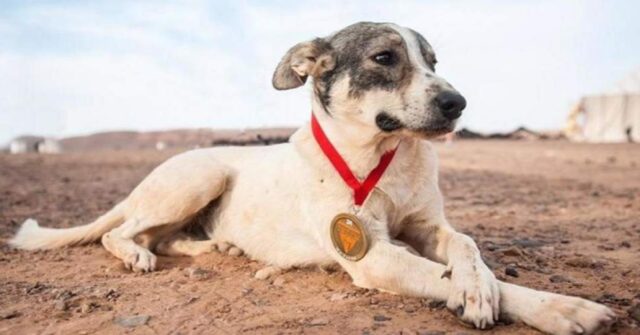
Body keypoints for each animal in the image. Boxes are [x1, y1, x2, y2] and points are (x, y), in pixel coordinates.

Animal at [11, 22, 616, 334]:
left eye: (434, 61)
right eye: (384, 57)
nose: (457, 103)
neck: (379, 156)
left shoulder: (428, 226)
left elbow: (466, 245)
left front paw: (478, 283)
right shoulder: (371, 254)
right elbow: (445, 276)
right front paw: (562, 307)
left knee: (166, 236)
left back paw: (216, 248)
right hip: (200, 176)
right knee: (123, 232)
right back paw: (139, 253)